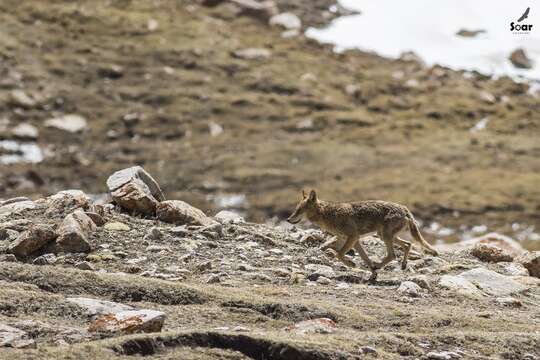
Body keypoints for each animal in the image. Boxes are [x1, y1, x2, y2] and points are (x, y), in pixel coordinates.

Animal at [286, 190, 438, 272]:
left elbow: (339, 255)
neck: (327, 214)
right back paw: (402, 265)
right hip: (383, 236)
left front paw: (352, 264)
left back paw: (380, 265)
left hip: (385, 237)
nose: (287, 219)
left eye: (299, 210)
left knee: (393, 255)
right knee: (407, 245)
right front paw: (372, 272)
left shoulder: (352, 237)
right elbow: (364, 257)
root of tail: (405, 209)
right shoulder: (355, 240)